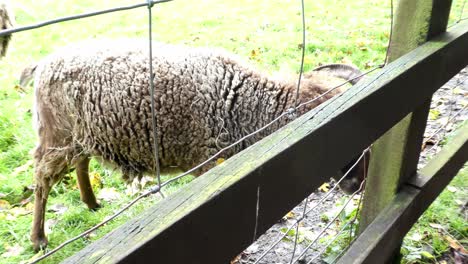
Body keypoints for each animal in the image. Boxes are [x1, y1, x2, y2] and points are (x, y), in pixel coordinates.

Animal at [22, 39, 366, 252]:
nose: (358, 184)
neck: (238, 103)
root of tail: (44, 64)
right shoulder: (208, 167)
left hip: (84, 135)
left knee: (81, 162)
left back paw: (92, 203)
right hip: (57, 136)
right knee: (42, 177)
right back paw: (39, 239)